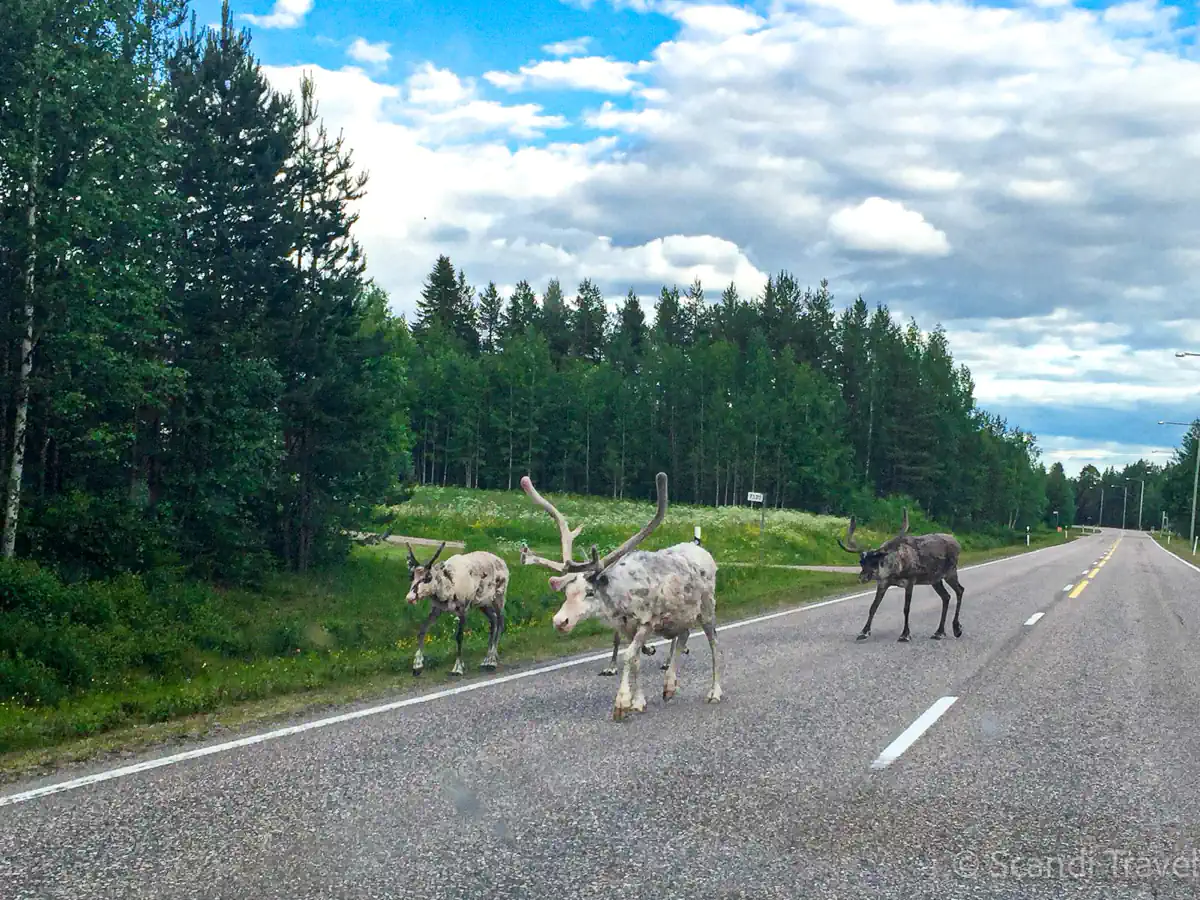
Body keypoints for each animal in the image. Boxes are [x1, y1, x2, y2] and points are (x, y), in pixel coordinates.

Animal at [405, 542, 509, 676]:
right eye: (411, 576)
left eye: (428, 577)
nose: (410, 597)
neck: (448, 585)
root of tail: (503, 562)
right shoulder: (437, 608)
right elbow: (423, 629)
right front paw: (417, 665)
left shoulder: (462, 609)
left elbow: (459, 636)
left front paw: (457, 668)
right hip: (483, 604)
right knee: (493, 621)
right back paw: (487, 659)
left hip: (499, 598)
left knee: (500, 621)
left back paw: (491, 661)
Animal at [519, 472, 722, 721]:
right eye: (567, 592)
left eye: (590, 592)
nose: (560, 621)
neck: (619, 602)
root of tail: (704, 552)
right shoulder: (627, 628)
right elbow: (635, 660)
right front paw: (638, 701)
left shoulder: (646, 622)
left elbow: (629, 656)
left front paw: (622, 702)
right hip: (681, 614)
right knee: (682, 637)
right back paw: (669, 686)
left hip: (707, 608)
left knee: (714, 644)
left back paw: (714, 691)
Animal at [837, 508, 965, 643]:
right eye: (861, 561)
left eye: (875, 561)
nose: (862, 577)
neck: (894, 568)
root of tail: (958, 543)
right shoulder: (883, 583)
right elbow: (873, 607)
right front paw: (864, 632)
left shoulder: (910, 582)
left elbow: (906, 608)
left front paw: (905, 634)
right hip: (935, 579)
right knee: (946, 596)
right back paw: (939, 632)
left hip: (950, 572)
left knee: (960, 590)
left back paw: (957, 628)